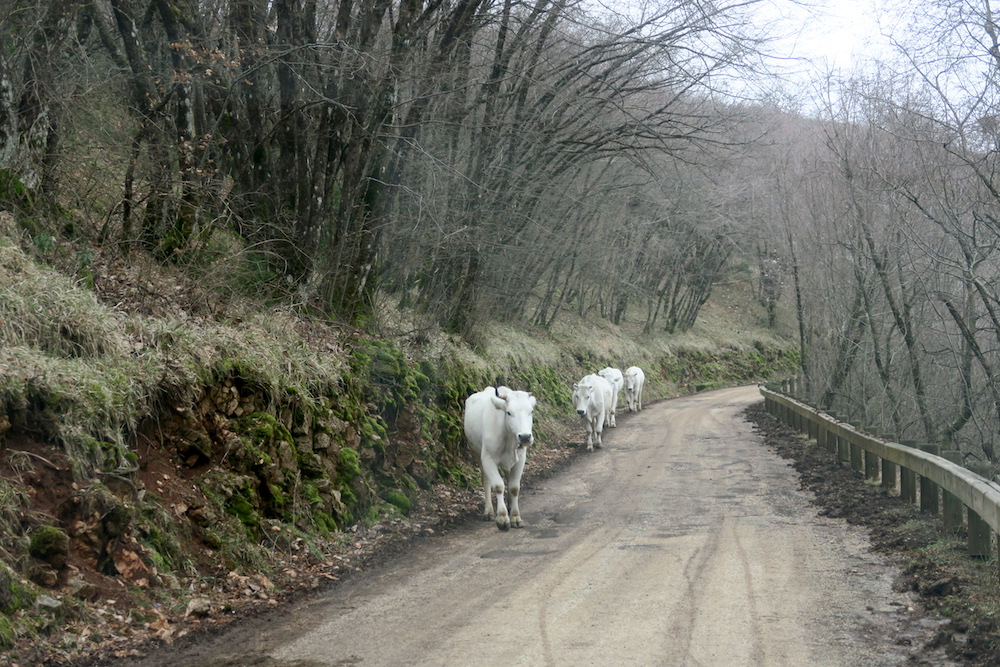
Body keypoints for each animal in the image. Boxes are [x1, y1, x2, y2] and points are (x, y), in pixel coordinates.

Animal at [462, 386, 536, 532]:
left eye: (531, 411)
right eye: (509, 412)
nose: (525, 437)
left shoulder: (520, 459)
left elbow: (514, 487)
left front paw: (515, 517)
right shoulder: (488, 458)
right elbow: (498, 486)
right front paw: (502, 518)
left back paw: (509, 505)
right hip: (476, 452)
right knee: (486, 481)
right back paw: (489, 511)